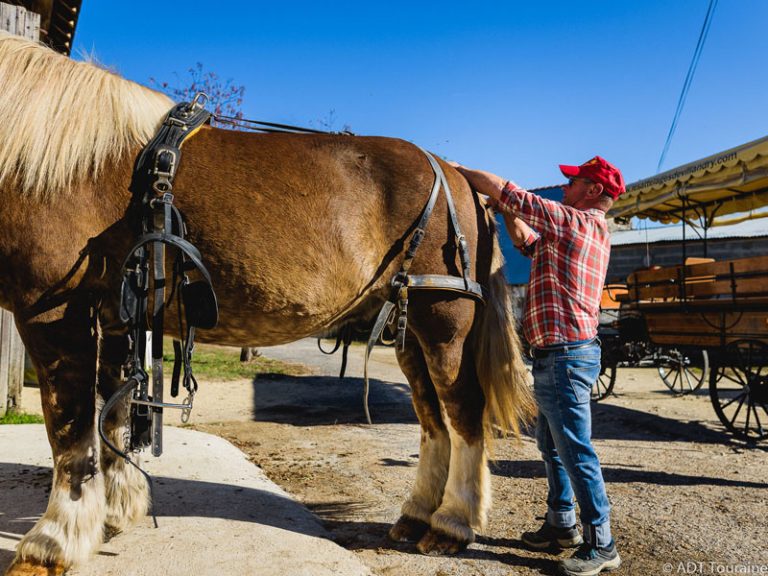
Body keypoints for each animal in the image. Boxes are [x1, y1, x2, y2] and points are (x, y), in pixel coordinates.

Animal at [0, 32, 536, 576]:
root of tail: (457, 174)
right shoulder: (114, 314)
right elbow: (111, 414)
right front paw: (115, 511)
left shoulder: (52, 312)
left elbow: (69, 428)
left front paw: (52, 542)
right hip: (407, 327)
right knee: (432, 418)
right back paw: (415, 516)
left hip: (444, 321)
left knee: (464, 411)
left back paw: (452, 524)